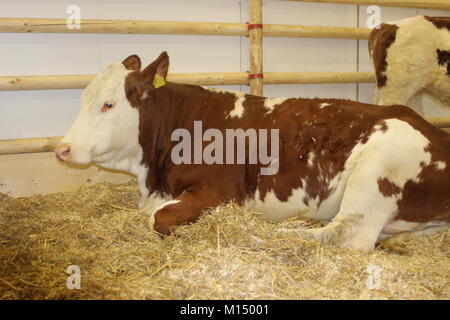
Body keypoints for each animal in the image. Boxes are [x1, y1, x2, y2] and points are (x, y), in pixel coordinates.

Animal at [54, 52, 448, 252]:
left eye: (108, 104)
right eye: (84, 97)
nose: (63, 149)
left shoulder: (220, 191)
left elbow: (158, 218)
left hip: (377, 169)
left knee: (347, 236)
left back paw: (275, 233)